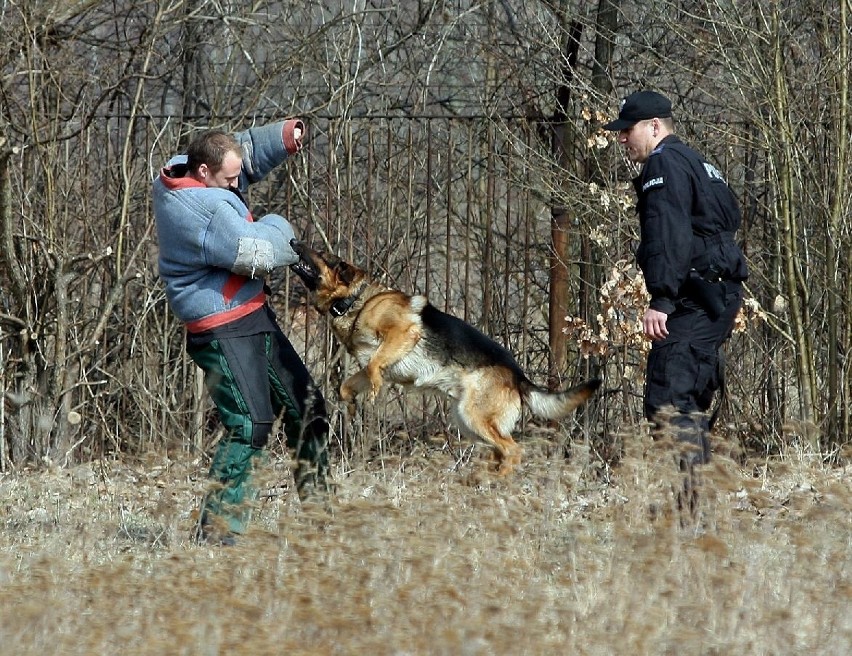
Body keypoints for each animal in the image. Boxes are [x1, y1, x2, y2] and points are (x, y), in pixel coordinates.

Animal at [292, 243, 600, 474]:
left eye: (323, 254)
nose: (295, 241)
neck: (355, 301)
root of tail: (518, 376)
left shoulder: (403, 333)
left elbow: (374, 366)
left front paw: (374, 391)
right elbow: (350, 384)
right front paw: (354, 406)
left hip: (474, 416)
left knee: (513, 450)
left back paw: (498, 478)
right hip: (468, 421)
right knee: (500, 450)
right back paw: (484, 478)